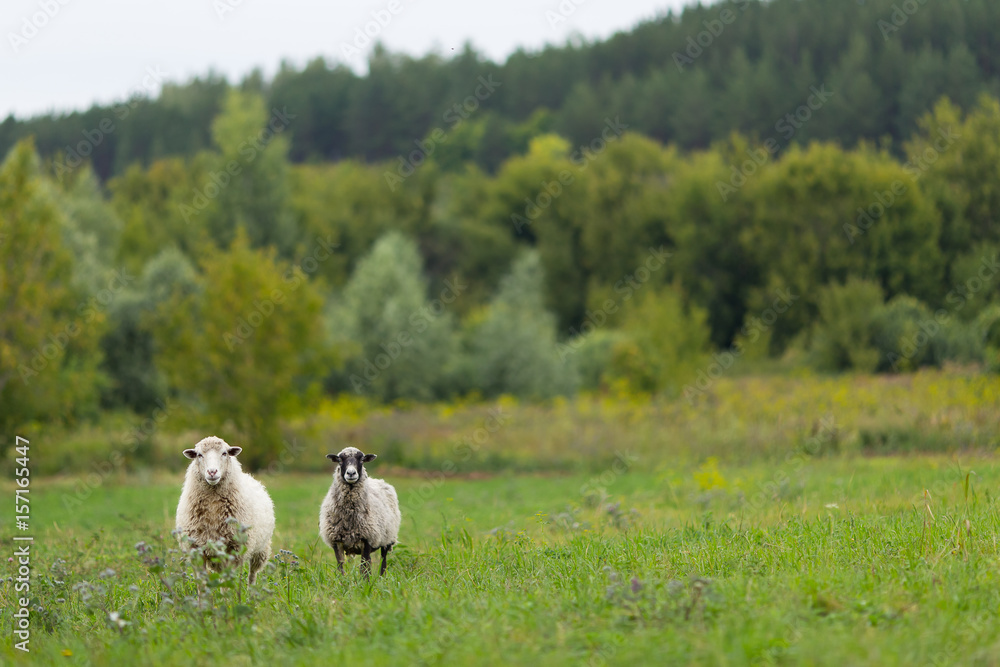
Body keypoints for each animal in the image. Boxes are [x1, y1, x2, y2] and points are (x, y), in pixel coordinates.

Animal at [176, 436, 276, 580]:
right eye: (199, 455)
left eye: (224, 453)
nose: (212, 472)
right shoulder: (196, 549)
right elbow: (202, 580)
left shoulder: (235, 548)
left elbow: (227, 578)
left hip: (261, 548)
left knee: (252, 574)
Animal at [318, 448, 400, 580]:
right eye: (340, 460)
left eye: (362, 459)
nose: (351, 473)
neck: (349, 517)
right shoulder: (336, 541)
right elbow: (340, 566)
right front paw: (342, 582)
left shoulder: (367, 539)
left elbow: (365, 568)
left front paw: (365, 583)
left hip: (388, 539)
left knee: (383, 561)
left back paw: (382, 578)